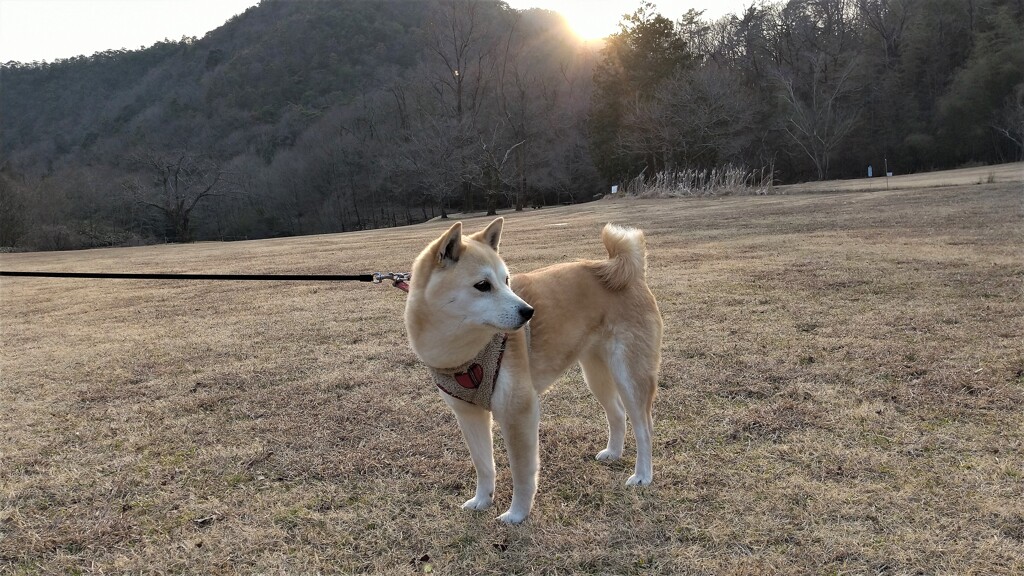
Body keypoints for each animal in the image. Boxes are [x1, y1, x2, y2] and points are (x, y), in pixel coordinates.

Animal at [405, 217, 663, 522]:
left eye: (506, 280)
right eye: (482, 285)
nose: (529, 312)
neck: (461, 350)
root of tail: (627, 272)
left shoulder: (519, 411)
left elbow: (522, 471)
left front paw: (517, 514)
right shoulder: (468, 415)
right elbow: (484, 465)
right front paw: (482, 500)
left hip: (629, 373)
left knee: (644, 427)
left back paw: (643, 475)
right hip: (596, 374)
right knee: (617, 413)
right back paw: (613, 452)